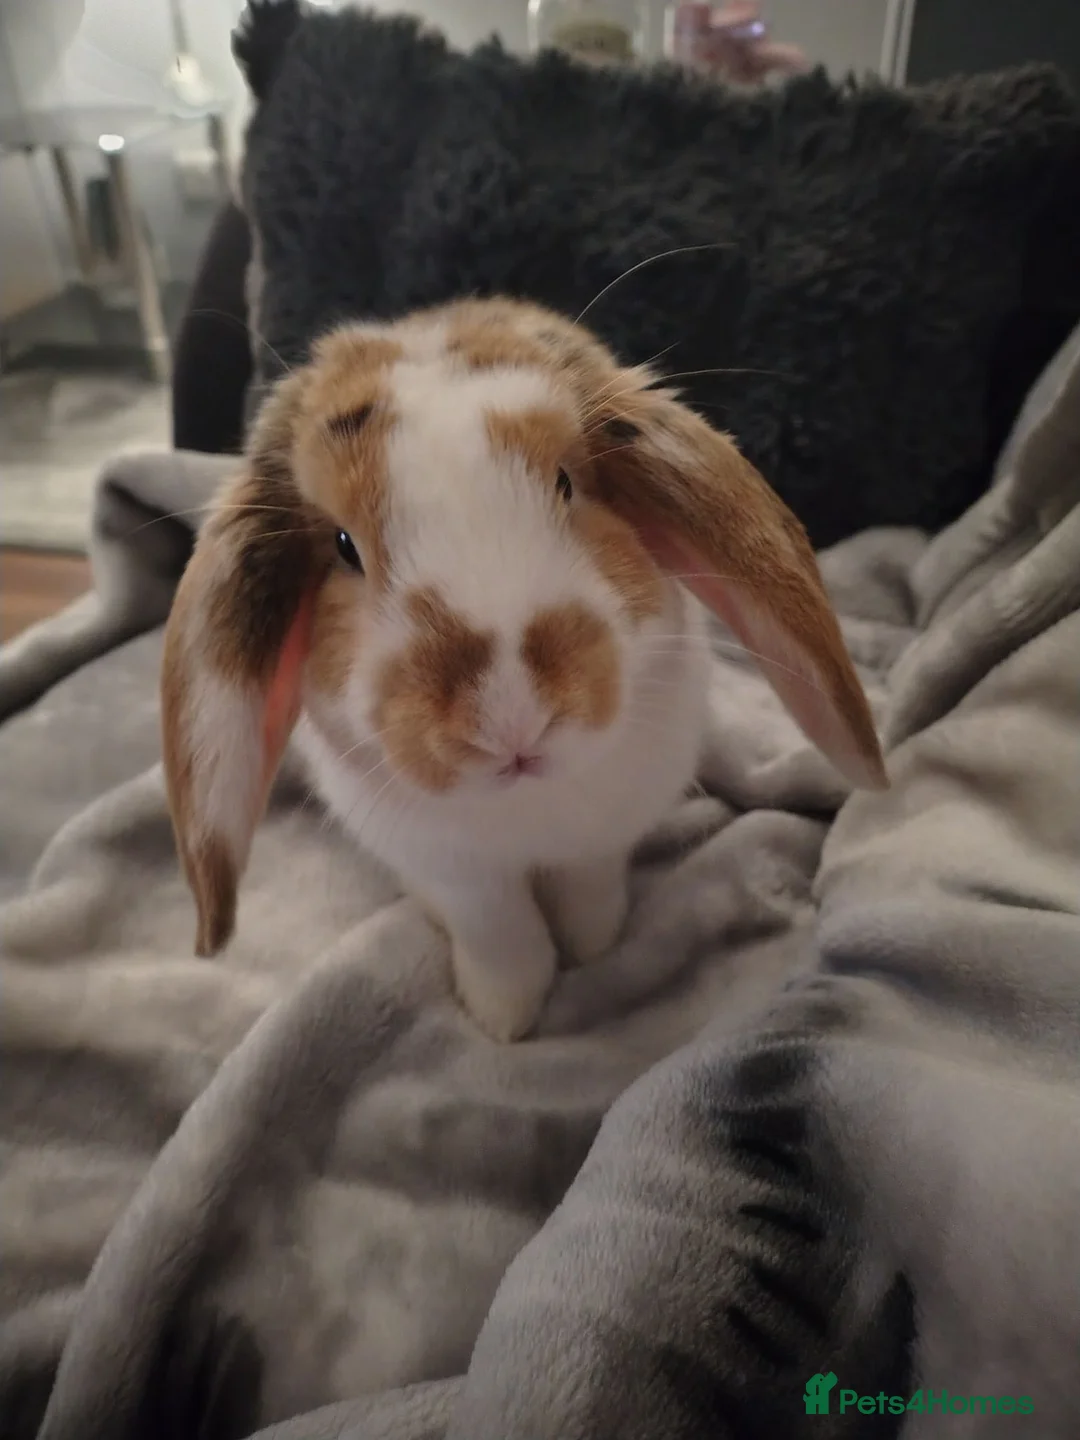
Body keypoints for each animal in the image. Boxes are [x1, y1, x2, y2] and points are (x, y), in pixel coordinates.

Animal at [161, 297, 885, 1041]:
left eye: (566, 484)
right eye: (343, 546)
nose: (510, 719)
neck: (528, 809)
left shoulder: (599, 841)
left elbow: (586, 894)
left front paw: (592, 947)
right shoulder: (459, 875)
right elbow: (500, 935)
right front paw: (503, 1018)